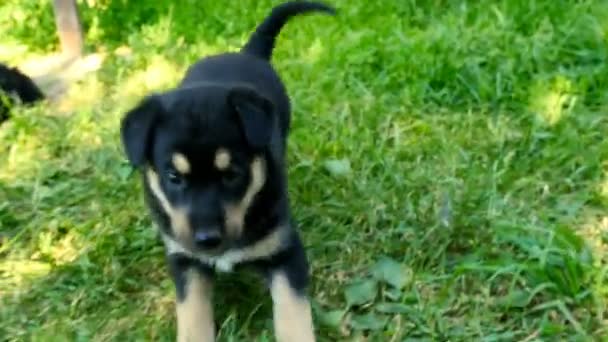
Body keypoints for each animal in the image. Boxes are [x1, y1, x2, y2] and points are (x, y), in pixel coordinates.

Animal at [119, 1, 338, 340]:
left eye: (232, 174)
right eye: (173, 177)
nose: (207, 240)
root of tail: (246, 52)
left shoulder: (285, 252)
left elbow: (292, 312)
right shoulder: (185, 260)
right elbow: (193, 315)